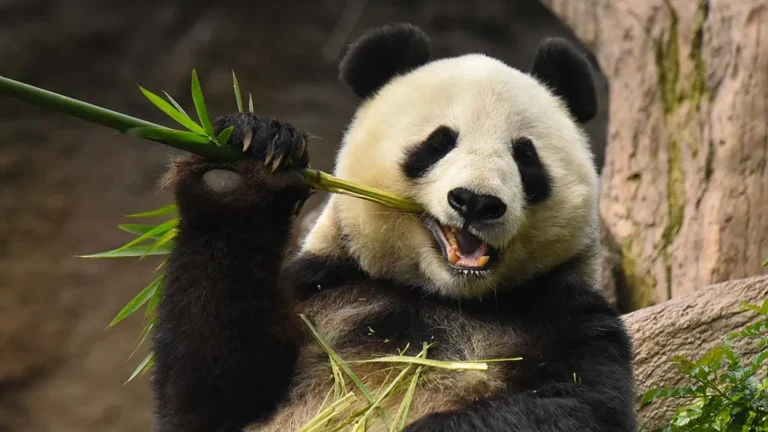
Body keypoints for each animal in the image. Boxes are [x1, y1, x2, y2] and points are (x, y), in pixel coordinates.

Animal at [151, 23, 637, 432]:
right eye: (438, 143)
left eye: (525, 156)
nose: (476, 201)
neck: (447, 296)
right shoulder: (324, 287)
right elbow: (213, 393)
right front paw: (241, 165)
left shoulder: (565, 314)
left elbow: (577, 404)